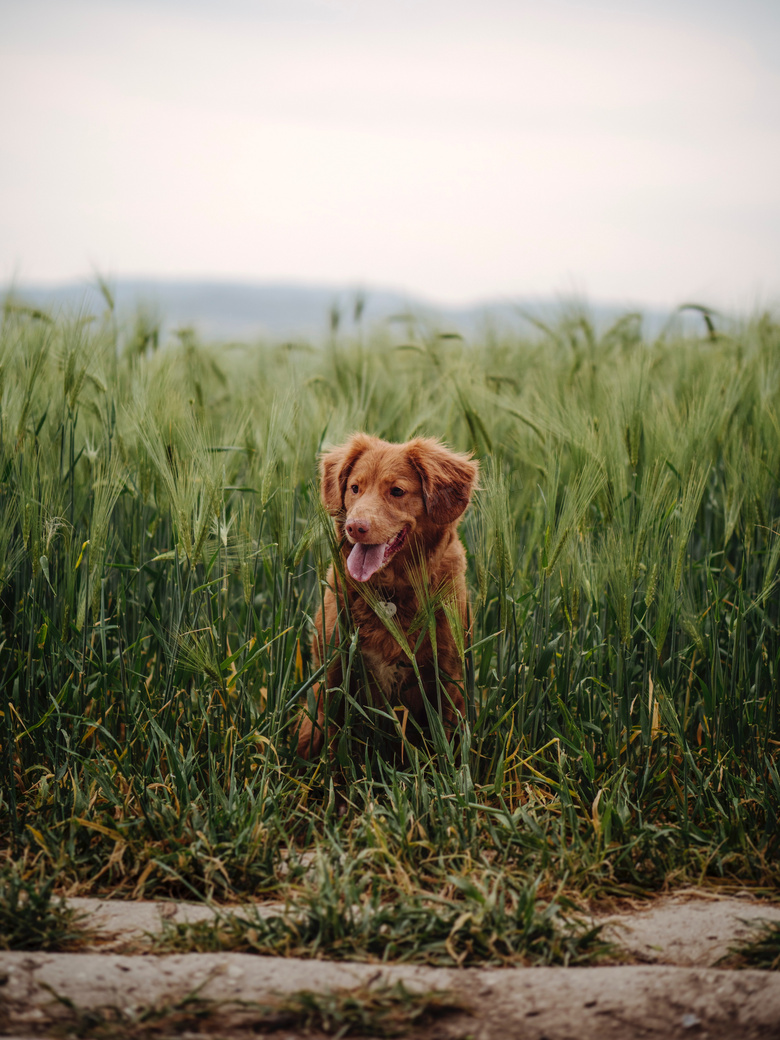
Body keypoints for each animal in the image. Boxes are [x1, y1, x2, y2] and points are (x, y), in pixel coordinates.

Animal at [297, 434, 480, 761]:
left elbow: (444, 743)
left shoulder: (446, 678)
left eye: (397, 491)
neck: (388, 593)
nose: (355, 527)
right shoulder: (332, 671)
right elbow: (323, 734)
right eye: (355, 488)